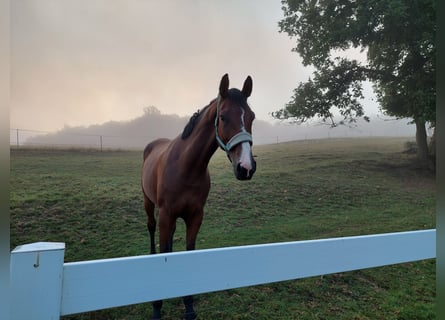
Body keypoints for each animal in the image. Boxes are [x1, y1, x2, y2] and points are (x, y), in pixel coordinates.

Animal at [140, 74, 255, 318]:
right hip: (149, 204)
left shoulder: (195, 216)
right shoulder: (166, 215)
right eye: (223, 117)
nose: (246, 167)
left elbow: (188, 251)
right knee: (151, 229)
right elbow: (163, 249)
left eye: (252, 116)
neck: (186, 167)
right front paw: (157, 306)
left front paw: (189, 306)